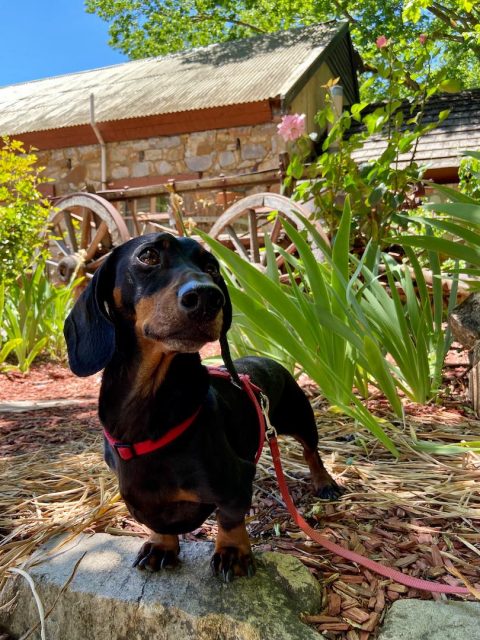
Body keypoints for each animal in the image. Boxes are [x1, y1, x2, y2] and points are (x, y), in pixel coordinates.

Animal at [63, 234, 342, 580]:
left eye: (211, 266)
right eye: (148, 255)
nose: (208, 298)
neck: (150, 415)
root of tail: (266, 358)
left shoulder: (236, 479)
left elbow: (230, 516)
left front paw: (233, 552)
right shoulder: (138, 496)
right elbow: (158, 522)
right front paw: (162, 546)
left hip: (301, 418)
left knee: (311, 451)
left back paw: (324, 483)